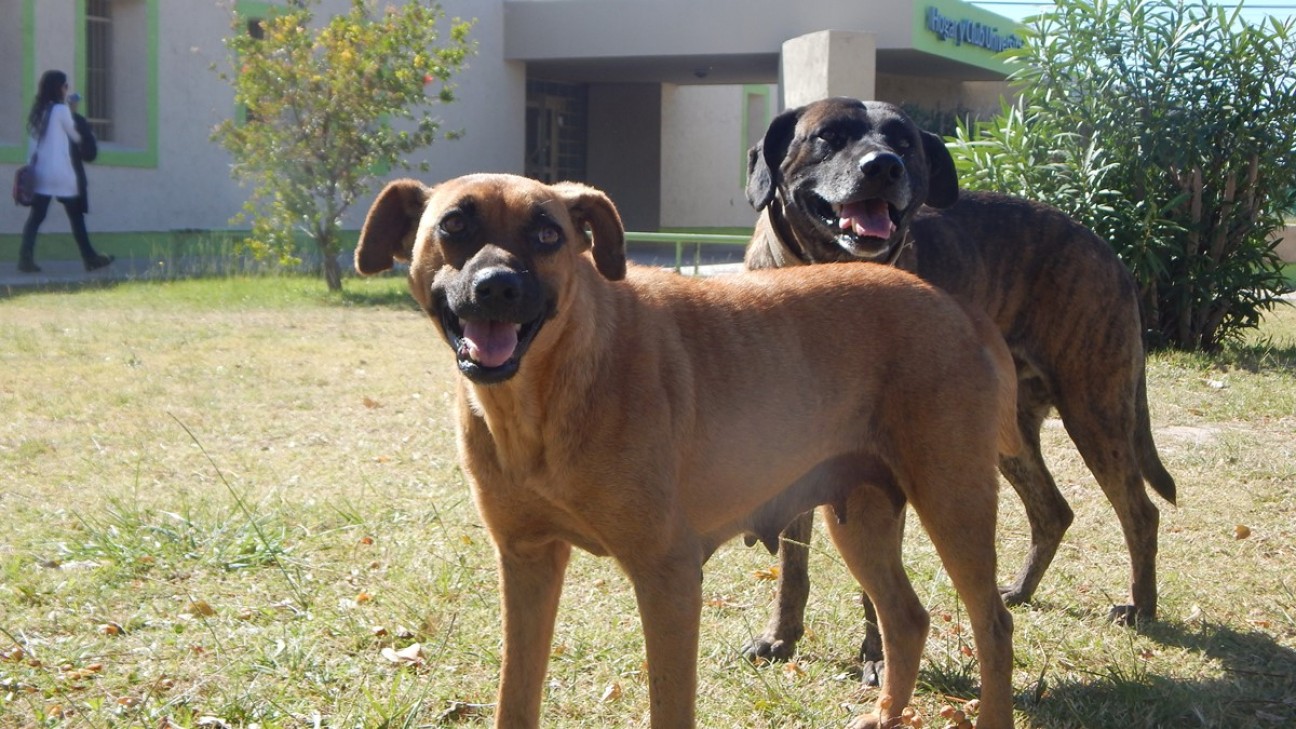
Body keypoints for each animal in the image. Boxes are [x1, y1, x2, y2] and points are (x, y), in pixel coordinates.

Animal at [357, 172, 1021, 721]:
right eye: (453, 225)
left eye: (548, 233)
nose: (497, 287)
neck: (548, 392)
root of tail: (956, 308)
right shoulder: (527, 560)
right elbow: (515, 698)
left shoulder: (668, 575)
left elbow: (668, 705)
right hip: (858, 516)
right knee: (908, 619)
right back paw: (885, 714)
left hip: (954, 501)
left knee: (994, 624)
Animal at [741, 96, 1176, 679]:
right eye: (829, 135)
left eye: (905, 143)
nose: (883, 166)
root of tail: (1109, 252)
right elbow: (793, 563)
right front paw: (780, 639)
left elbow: (878, 583)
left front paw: (879, 658)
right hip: (1006, 436)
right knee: (1053, 510)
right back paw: (1019, 589)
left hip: (1096, 410)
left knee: (1140, 512)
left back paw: (1141, 606)